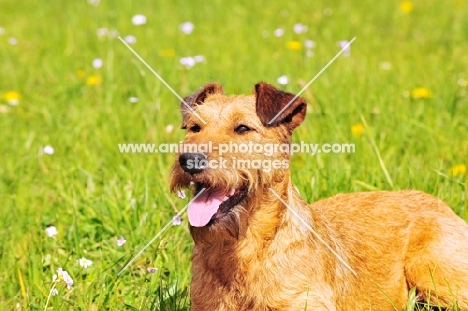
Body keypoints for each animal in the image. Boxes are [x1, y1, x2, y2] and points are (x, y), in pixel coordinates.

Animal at [170, 83, 468, 311]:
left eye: (243, 128)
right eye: (194, 128)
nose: (189, 159)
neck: (243, 251)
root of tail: (438, 203)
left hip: (435, 274)